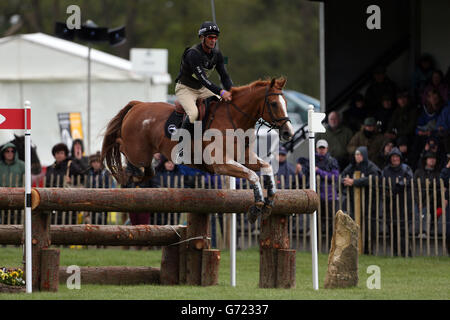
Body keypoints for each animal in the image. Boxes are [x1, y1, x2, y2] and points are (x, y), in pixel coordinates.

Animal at [100, 77, 294, 222]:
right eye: (274, 103)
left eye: (286, 103)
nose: (288, 133)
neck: (234, 120)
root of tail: (138, 105)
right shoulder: (221, 164)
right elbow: (252, 175)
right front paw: (258, 206)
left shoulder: (244, 157)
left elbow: (266, 167)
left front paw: (269, 200)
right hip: (137, 150)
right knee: (119, 143)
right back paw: (124, 170)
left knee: (147, 170)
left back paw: (137, 175)